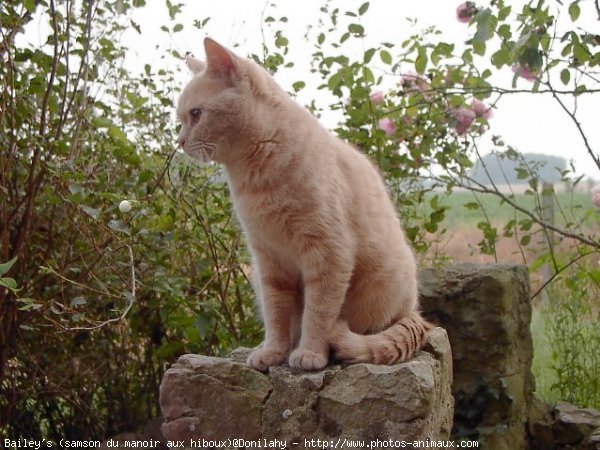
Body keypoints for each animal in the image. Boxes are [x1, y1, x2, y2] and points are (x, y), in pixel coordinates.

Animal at [176, 37, 434, 370]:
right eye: (182, 118)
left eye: (196, 114)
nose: (179, 141)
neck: (257, 171)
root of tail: (417, 314)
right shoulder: (268, 260)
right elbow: (276, 313)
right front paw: (273, 351)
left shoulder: (328, 254)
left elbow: (319, 312)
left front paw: (310, 352)